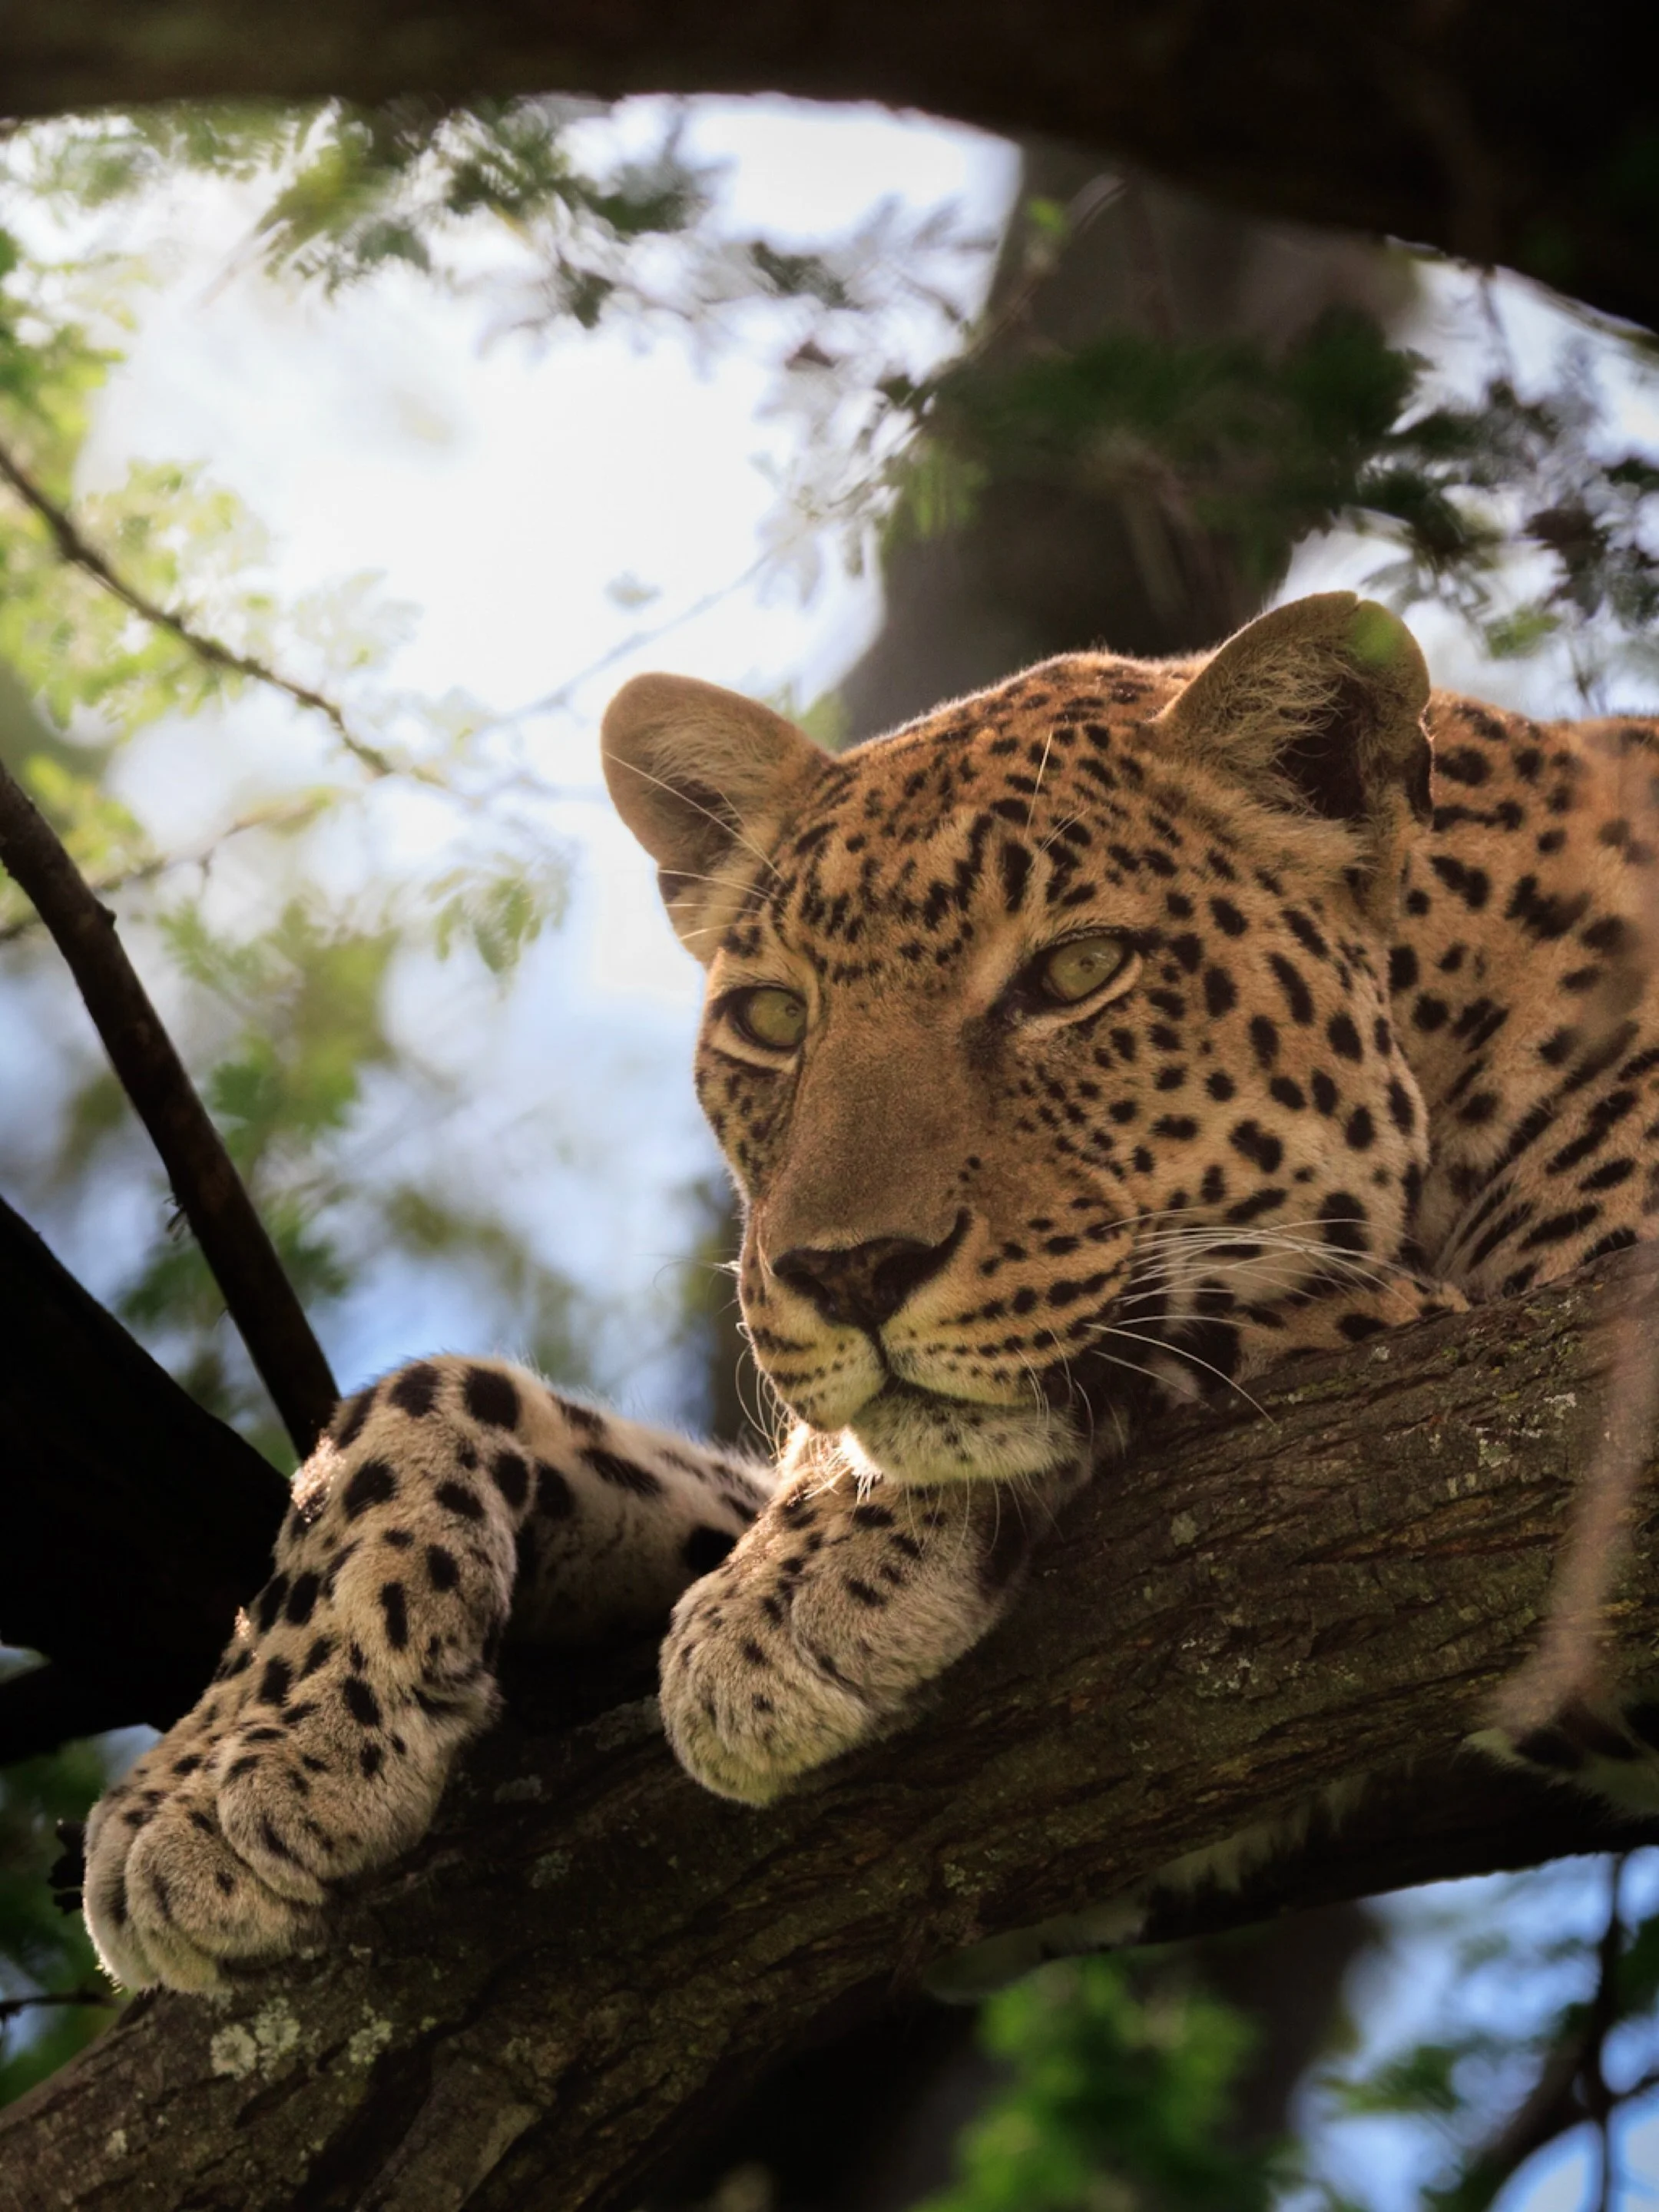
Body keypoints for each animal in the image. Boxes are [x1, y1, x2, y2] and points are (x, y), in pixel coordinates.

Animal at [82, 588, 1659, 1995]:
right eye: (775, 1018)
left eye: (1078, 972)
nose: (847, 1271)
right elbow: (427, 1394)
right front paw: (227, 1766)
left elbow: (1165, 1318)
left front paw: (797, 1576)